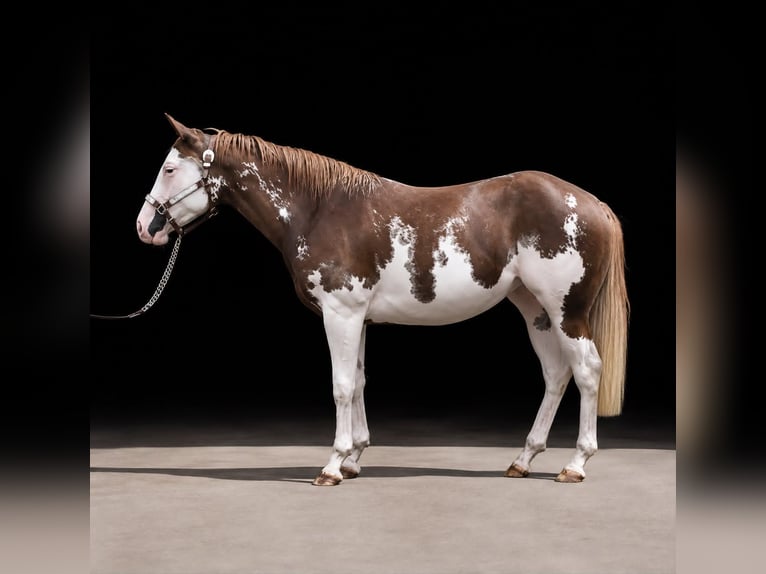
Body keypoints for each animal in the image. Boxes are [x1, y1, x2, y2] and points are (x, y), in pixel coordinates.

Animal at [136, 113, 629, 486]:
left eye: (169, 169)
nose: (144, 227)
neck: (320, 209)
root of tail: (594, 204)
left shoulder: (340, 315)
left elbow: (340, 386)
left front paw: (332, 466)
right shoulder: (358, 319)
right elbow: (358, 384)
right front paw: (354, 459)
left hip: (568, 311)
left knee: (587, 371)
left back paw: (575, 464)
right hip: (536, 310)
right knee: (556, 375)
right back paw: (523, 460)